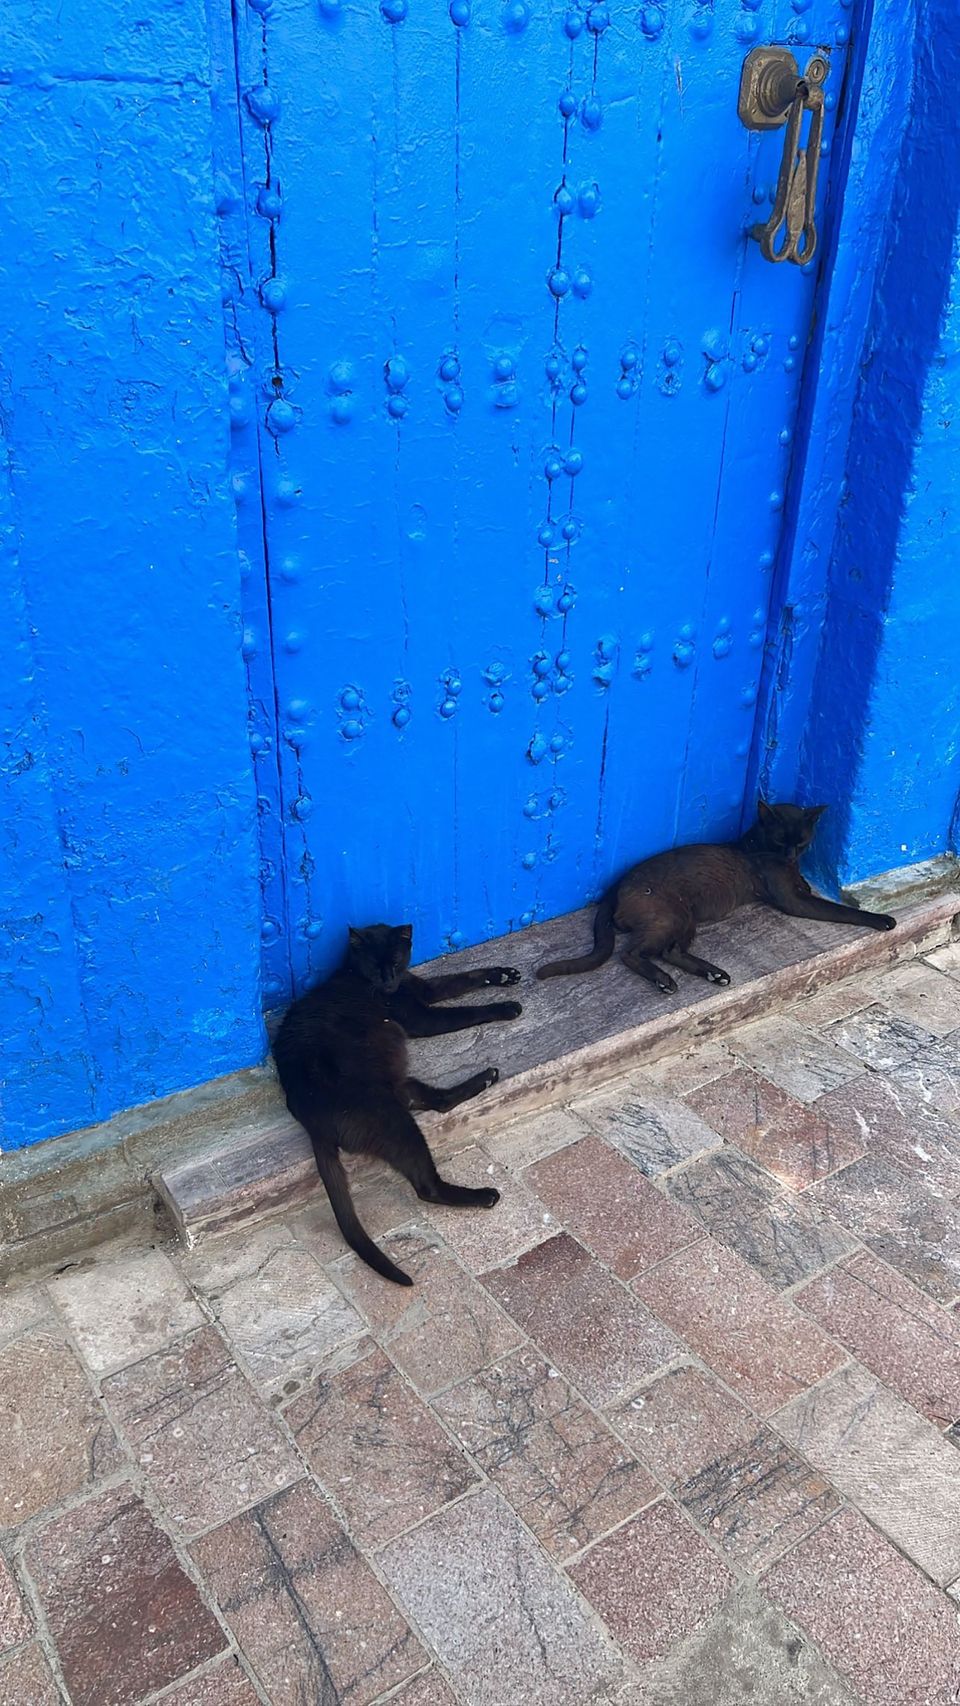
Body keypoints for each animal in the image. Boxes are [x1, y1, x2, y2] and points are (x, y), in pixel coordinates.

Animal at [271, 928, 521, 1282]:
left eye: (396, 960)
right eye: (375, 967)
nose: (388, 981)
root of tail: (310, 1120)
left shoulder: (424, 989)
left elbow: (462, 979)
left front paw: (501, 974)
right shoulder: (421, 1017)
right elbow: (465, 1011)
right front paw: (507, 1006)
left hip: (401, 1088)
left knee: (439, 1102)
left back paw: (486, 1078)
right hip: (393, 1119)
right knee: (427, 1186)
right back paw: (483, 1195)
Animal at [538, 801, 900, 996]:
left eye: (801, 842)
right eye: (779, 840)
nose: (788, 854)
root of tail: (614, 888)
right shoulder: (793, 902)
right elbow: (840, 910)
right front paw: (882, 920)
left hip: (685, 919)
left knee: (669, 951)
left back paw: (714, 974)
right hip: (671, 915)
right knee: (632, 953)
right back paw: (665, 981)